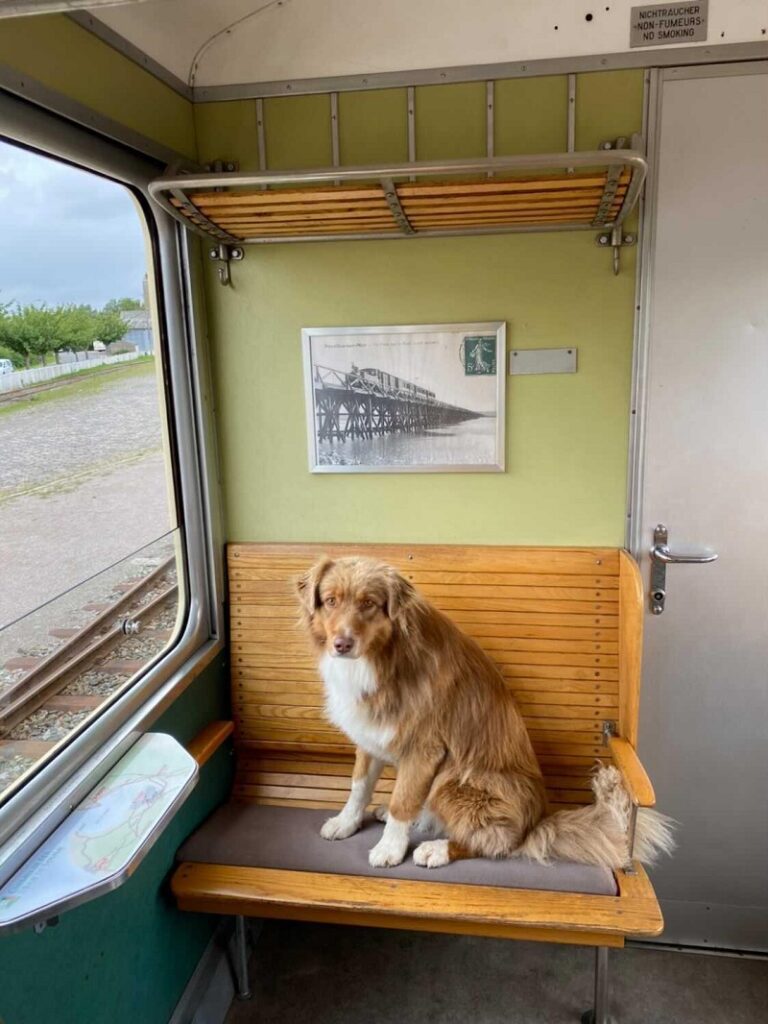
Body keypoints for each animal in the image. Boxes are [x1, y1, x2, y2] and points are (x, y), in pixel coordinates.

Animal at [296, 557, 671, 868]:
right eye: (331, 601)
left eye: (369, 604)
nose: (342, 644)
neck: (383, 657)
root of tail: (535, 824)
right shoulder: (370, 733)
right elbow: (359, 784)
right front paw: (346, 822)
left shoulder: (425, 748)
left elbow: (404, 799)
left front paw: (390, 848)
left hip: (453, 781)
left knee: (495, 843)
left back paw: (437, 848)